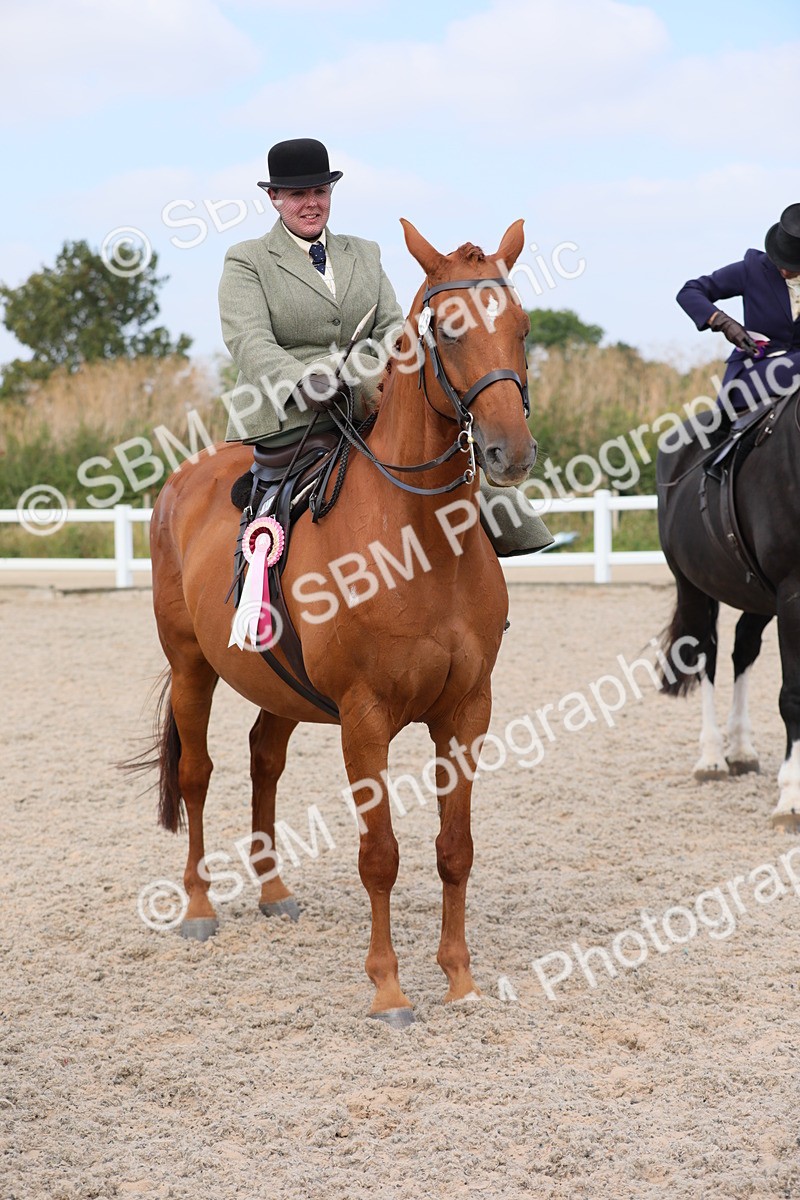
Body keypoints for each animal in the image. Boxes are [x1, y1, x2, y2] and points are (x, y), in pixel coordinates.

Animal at [145, 219, 537, 1025]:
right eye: (449, 331)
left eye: (521, 327)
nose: (510, 452)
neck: (419, 543)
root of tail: (184, 481)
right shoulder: (365, 717)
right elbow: (380, 854)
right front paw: (389, 988)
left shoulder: (468, 710)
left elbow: (455, 848)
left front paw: (460, 978)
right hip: (191, 666)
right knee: (198, 775)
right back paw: (200, 907)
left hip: (278, 681)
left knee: (263, 759)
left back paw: (273, 891)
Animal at [656, 397, 800, 831]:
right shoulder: (792, 593)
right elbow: (792, 695)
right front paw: (791, 798)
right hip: (693, 588)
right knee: (707, 653)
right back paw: (712, 757)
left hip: (757, 597)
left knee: (743, 648)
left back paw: (740, 748)